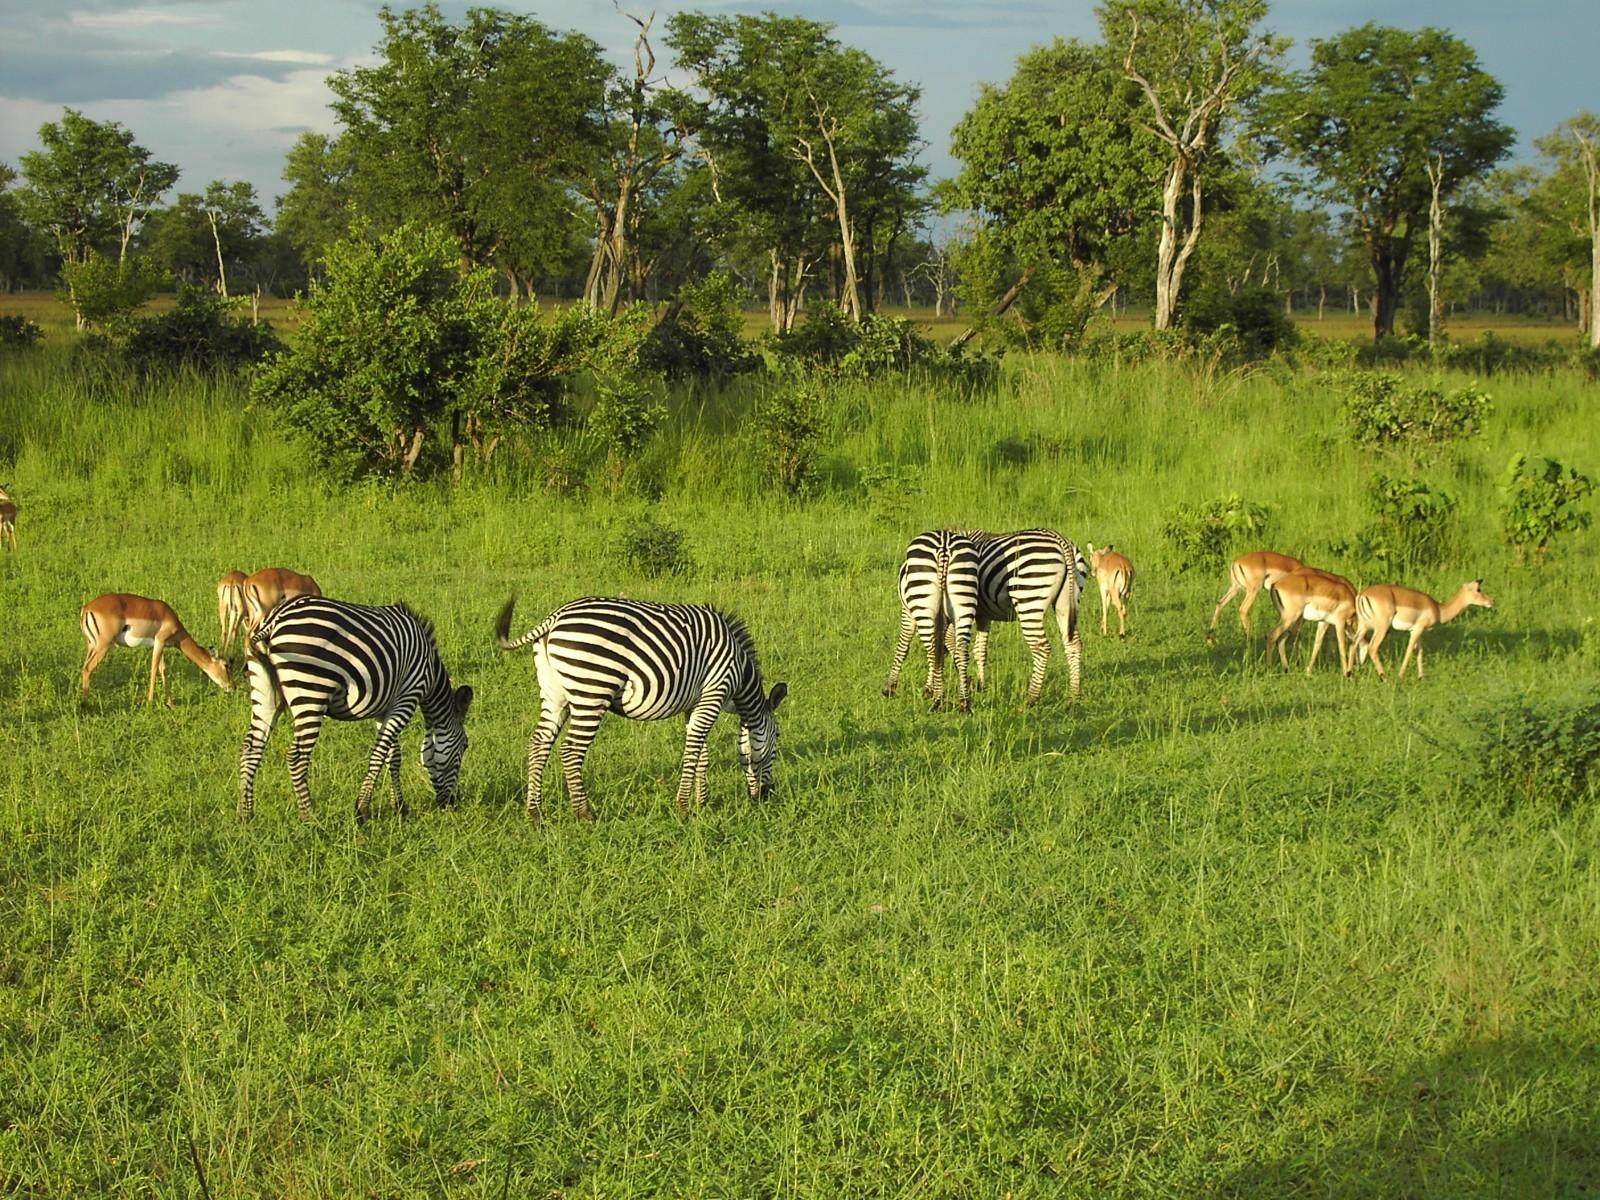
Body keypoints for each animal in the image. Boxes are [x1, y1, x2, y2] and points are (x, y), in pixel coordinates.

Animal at [236, 595, 470, 825]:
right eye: (465, 746)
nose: (452, 803)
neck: (429, 670)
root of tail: (275, 619)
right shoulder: (408, 696)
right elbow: (379, 754)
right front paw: (362, 810)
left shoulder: (385, 708)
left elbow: (392, 755)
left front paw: (400, 807)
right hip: (311, 691)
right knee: (296, 756)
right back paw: (309, 817)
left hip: (265, 692)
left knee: (251, 748)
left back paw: (246, 815)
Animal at [489, 598, 784, 825]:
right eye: (777, 740)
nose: (767, 796)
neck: (741, 671)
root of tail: (554, 618)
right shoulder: (714, 692)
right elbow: (693, 751)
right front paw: (684, 807)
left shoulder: (694, 702)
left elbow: (702, 753)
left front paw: (701, 801)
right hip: (592, 689)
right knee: (571, 750)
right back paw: (584, 813)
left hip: (555, 693)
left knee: (539, 743)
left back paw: (534, 812)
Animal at [883, 528, 979, 713]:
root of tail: (944, 545)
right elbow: (948, 647)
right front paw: (931, 686)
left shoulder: (907, 613)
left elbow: (903, 646)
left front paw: (890, 687)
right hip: (964, 601)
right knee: (961, 651)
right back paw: (964, 702)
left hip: (922, 603)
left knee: (933, 650)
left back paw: (938, 700)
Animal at [960, 524, 1088, 704]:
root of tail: (1061, 541)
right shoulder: (983, 615)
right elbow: (980, 651)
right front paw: (981, 685)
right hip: (1067, 602)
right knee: (1074, 644)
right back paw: (1074, 694)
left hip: (1029, 599)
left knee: (1041, 647)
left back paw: (1031, 698)